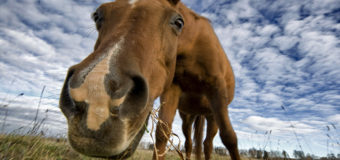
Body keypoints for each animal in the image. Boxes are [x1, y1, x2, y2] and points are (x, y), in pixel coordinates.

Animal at [153, 1, 240, 160]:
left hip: (212, 116)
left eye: (177, 22)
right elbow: (162, 132)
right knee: (190, 143)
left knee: (207, 144)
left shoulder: (216, 88)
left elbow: (229, 137)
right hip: (187, 117)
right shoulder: (173, 88)